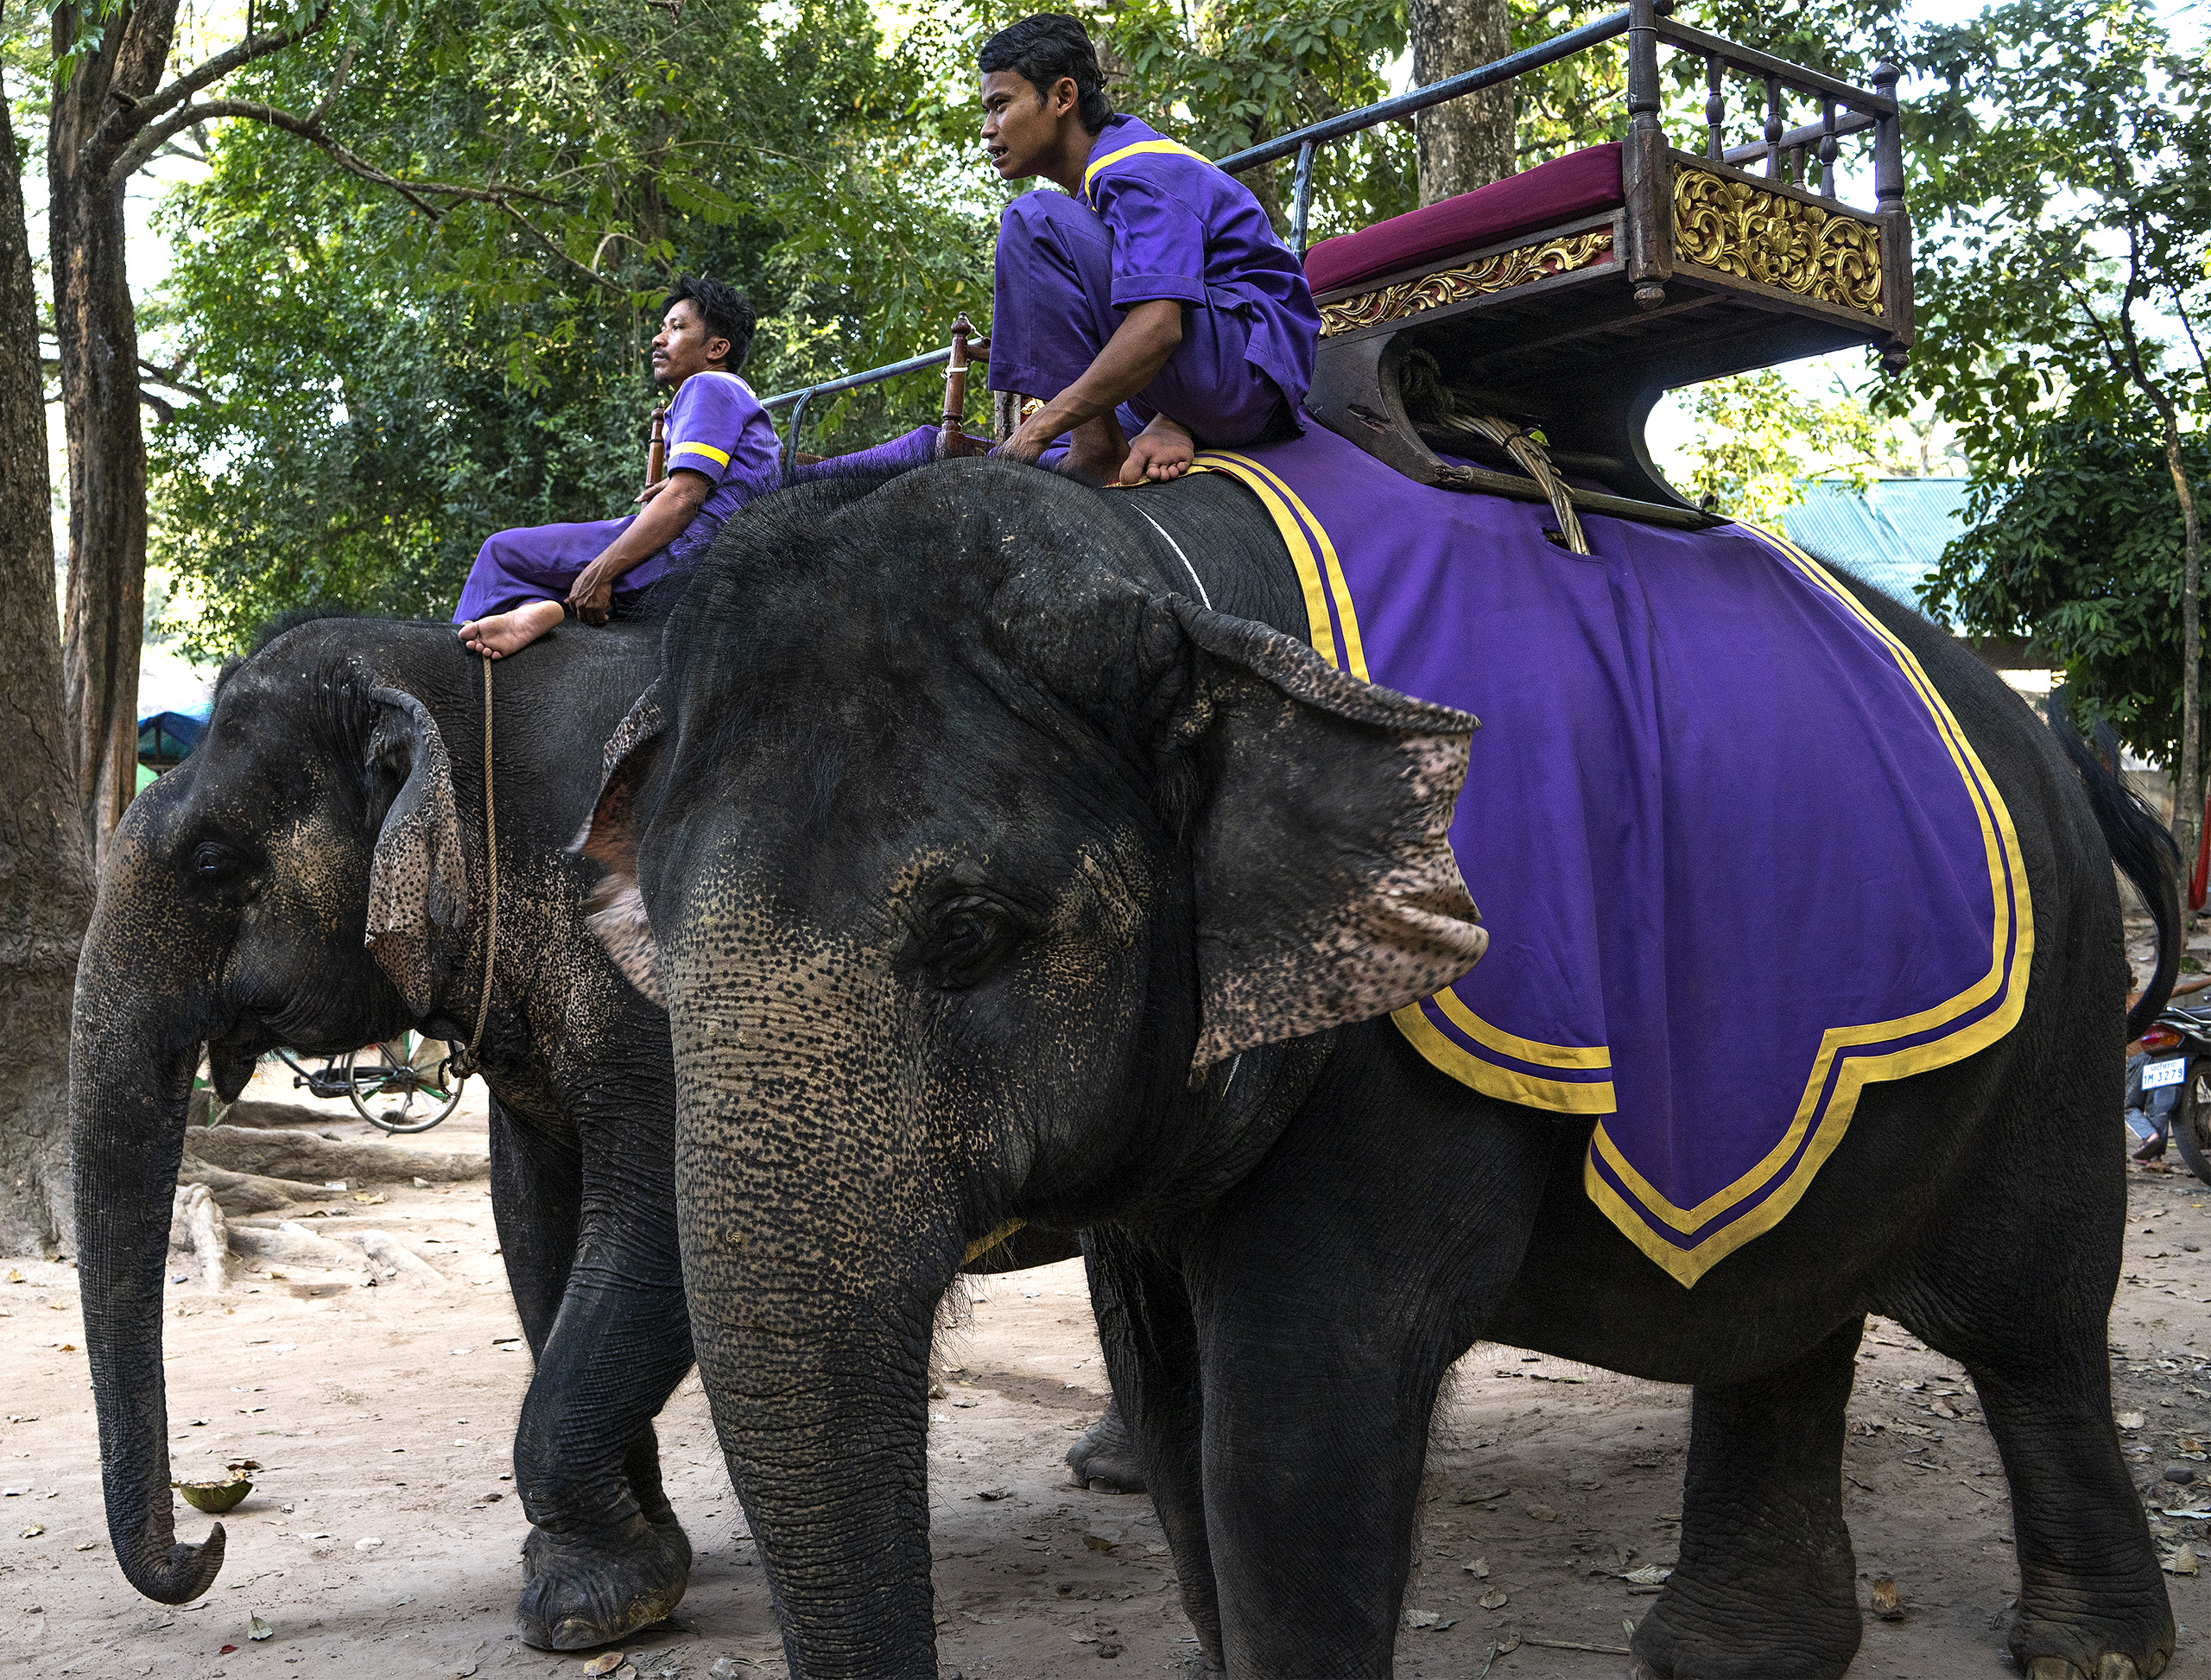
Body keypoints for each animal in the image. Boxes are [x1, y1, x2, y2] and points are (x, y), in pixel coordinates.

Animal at [70, 615, 696, 1651]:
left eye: (212, 864)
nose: (211, 1540)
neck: (458, 680)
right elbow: (535, 1222)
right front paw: (639, 1567)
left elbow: (672, 1219)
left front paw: (583, 1612)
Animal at [583, 457, 2181, 1680]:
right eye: (660, 927)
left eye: (969, 934)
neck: (1170, 574)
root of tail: (2054, 740)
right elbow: (1174, 1420)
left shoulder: (1413, 1051)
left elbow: (1293, 1437)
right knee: (1784, 1305)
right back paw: (1733, 1656)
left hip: (2055, 1003)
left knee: (2031, 1315)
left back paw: (2090, 1652)